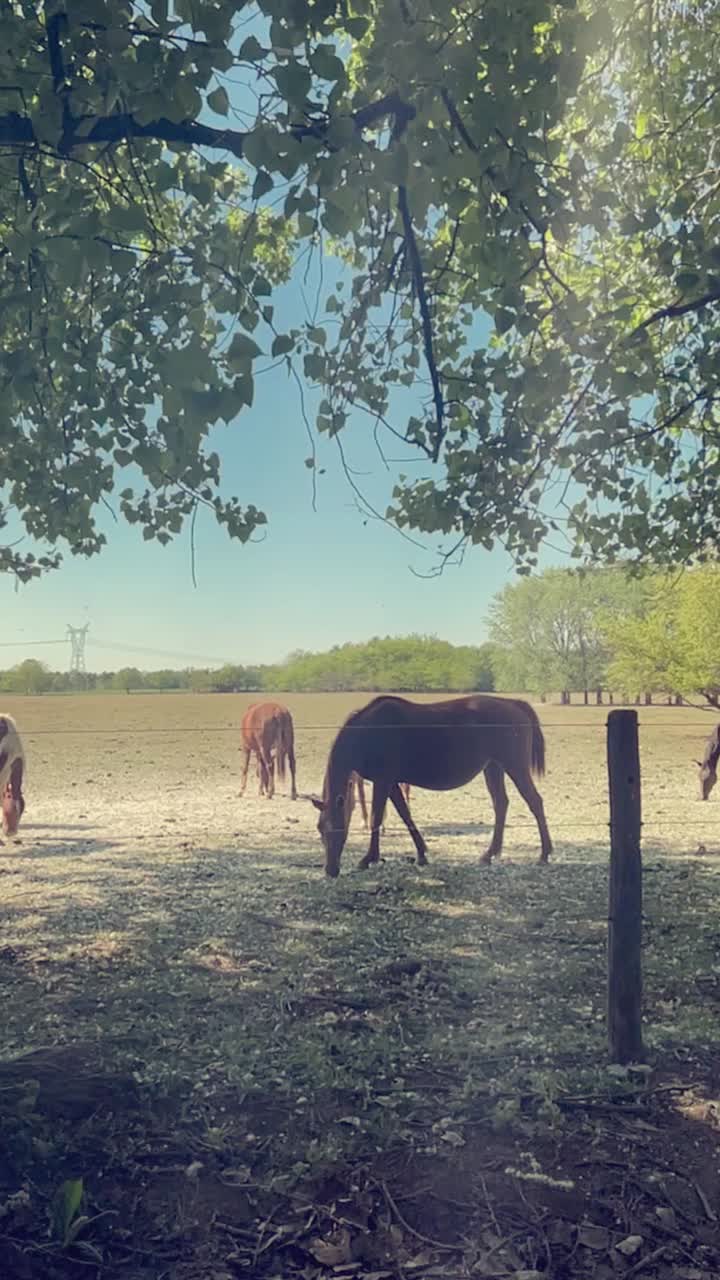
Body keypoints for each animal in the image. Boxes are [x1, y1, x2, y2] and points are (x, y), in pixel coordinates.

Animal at [310, 694, 552, 877]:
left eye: (336, 828)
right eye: (320, 828)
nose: (330, 870)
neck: (368, 731)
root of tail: (513, 703)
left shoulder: (383, 781)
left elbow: (376, 818)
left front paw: (368, 858)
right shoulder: (391, 783)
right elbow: (405, 814)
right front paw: (422, 854)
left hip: (515, 766)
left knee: (535, 801)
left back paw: (544, 854)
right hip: (493, 767)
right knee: (501, 804)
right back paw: (489, 854)